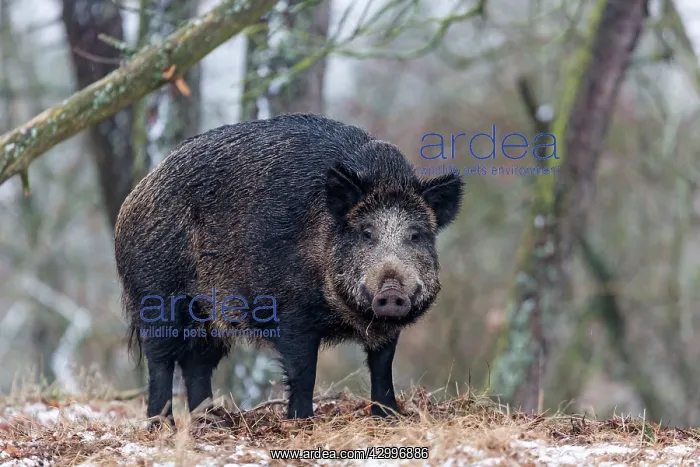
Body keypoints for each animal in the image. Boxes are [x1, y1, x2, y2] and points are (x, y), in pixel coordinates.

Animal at [114, 113, 463, 427]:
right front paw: (302, 423)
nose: (391, 290)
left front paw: (389, 418)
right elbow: (303, 369)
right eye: (366, 233)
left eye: (416, 235)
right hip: (155, 296)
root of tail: (134, 197)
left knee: (197, 362)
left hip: (208, 317)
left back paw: (214, 424)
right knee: (160, 359)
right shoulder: (291, 313)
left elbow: (382, 365)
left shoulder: (385, 329)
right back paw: (163, 426)